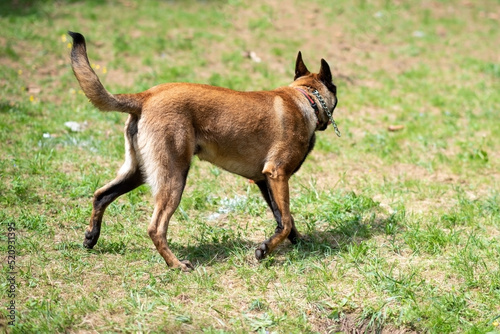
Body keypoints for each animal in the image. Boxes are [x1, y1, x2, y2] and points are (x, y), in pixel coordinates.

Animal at [68, 31, 340, 272]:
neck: (306, 98)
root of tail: (146, 96)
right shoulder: (277, 175)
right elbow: (284, 221)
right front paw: (265, 250)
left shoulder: (265, 181)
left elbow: (284, 218)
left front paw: (296, 242)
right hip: (174, 177)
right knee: (155, 228)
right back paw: (176, 265)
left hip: (140, 171)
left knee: (101, 194)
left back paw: (91, 237)